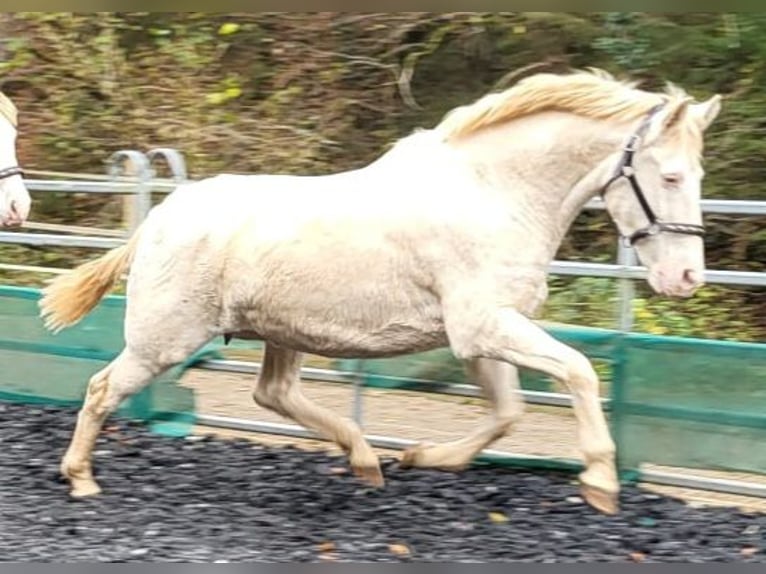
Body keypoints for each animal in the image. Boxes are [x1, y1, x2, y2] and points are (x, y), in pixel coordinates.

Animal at [40, 68, 728, 516]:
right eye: (670, 176)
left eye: (698, 175)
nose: (686, 279)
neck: (494, 194)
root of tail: (162, 216)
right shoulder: (483, 326)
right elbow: (580, 371)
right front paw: (602, 482)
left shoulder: (484, 334)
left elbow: (508, 413)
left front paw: (422, 458)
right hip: (165, 340)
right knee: (102, 389)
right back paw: (81, 480)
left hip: (282, 335)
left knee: (274, 395)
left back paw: (367, 460)